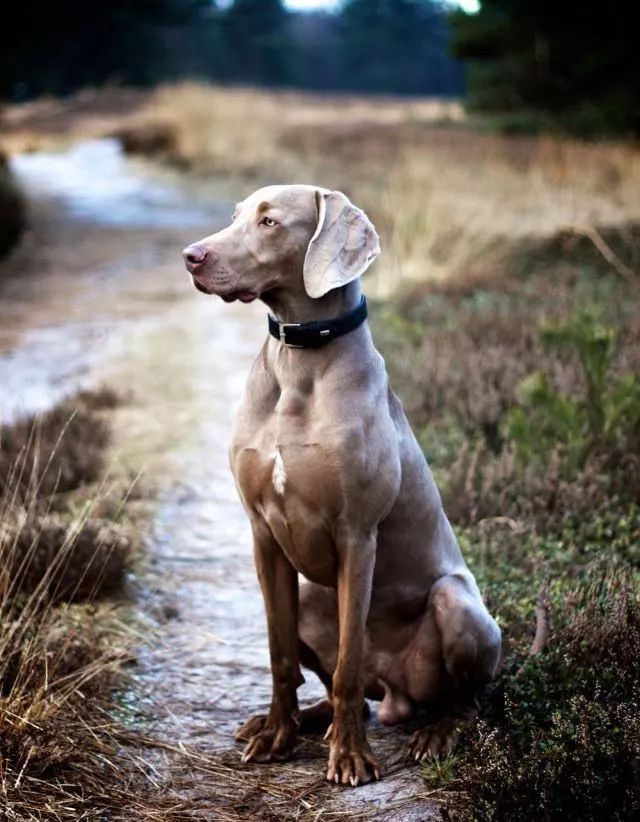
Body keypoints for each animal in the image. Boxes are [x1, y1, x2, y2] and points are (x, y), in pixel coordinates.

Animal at [181, 187, 500, 792]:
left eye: (270, 222)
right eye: (235, 215)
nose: (191, 256)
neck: (299, 361)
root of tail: (396, 694)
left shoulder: (357, 534)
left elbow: (350, 662)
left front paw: (350, 757)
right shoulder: (262, 535)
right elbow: (279, 653)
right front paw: (276, 735)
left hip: (458, 604)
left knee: (463, 698)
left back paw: (433, 733)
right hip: (310, 595)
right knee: (332, 688)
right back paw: (298, 721)